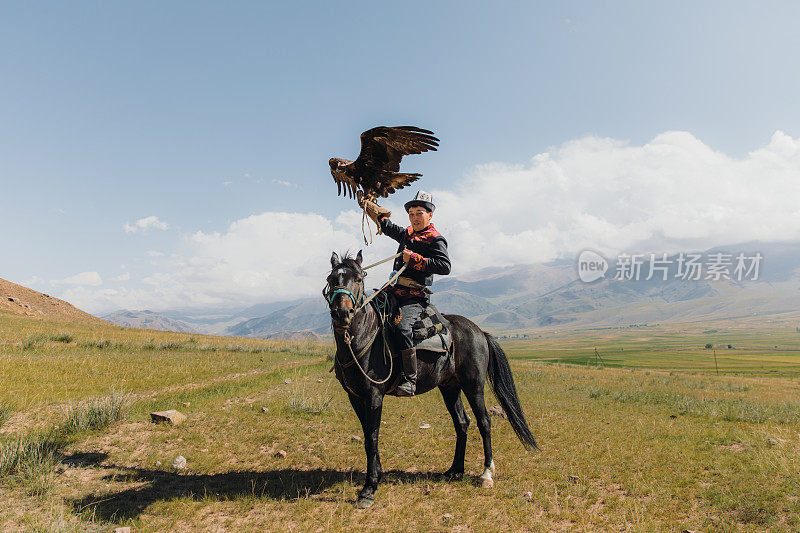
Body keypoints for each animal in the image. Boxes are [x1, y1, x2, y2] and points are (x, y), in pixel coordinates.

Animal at [324, 249, 536, 508]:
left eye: (358, 279)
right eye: (332, 278)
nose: (342, 313)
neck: (363, 338)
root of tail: (479, 332)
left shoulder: (374, 395)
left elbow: (372, 437)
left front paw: (368, 489)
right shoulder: (355, 396)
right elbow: (367, 435)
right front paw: (376, 475)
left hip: (473, 385)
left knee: (484, 421)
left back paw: (486, 473)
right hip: (450, 387)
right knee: (462, 422)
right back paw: (455, 470)